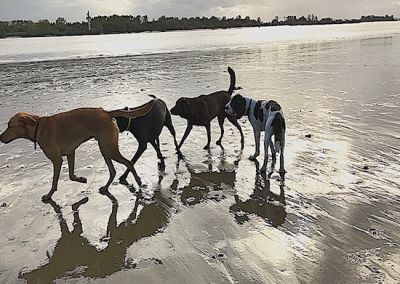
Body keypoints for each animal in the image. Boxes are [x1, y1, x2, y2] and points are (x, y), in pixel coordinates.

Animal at [0, 101, 154, 201]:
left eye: (9, 126)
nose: (0, 137)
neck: (38, 127)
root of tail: (106, 112)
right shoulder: (70, 153)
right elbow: (70, 175)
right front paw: (81, 179)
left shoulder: (57, 159)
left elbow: (55, 181)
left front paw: (49, 195)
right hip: (105, 149)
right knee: (113, 171)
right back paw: (105, 187)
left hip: (109, 149)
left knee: (129, 163)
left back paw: (139, 181)